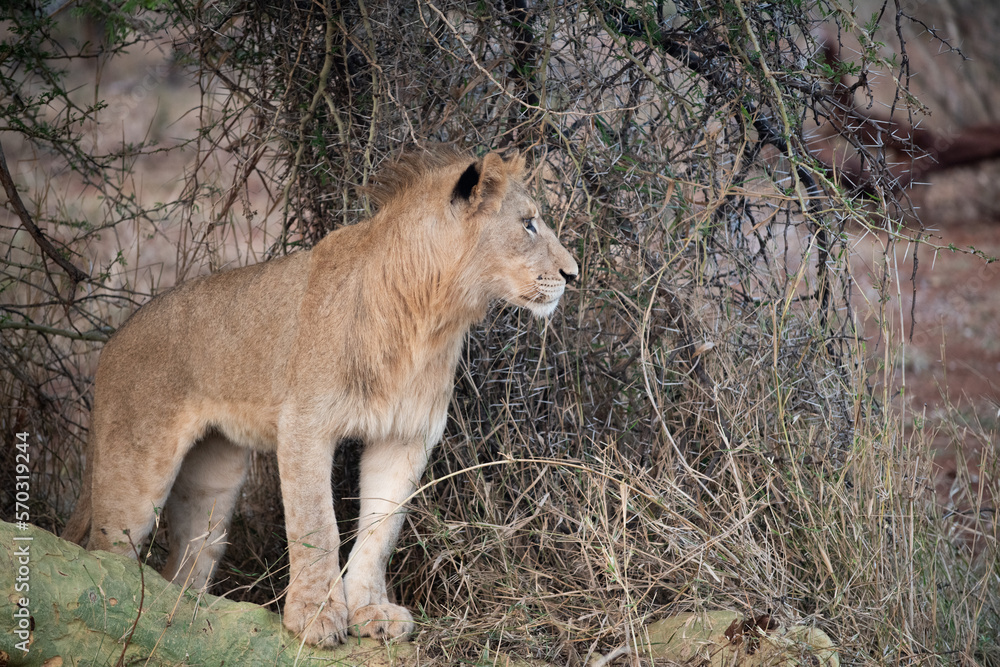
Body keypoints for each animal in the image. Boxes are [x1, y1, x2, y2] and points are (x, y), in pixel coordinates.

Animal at [62, 146, 580, 648]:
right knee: (105, 553)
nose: (573, 274)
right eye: (528, 223)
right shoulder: (304, 425)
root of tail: (111, 342)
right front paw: (315, 617)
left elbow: (380, 532)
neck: (432, 314)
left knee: (187, 565)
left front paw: (371, 613)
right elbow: (317, 526)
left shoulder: (405, 438)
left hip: (213, 484)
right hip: (133, 478)